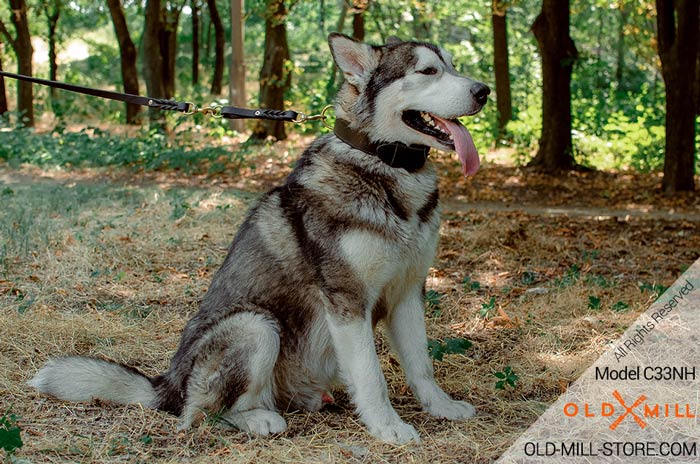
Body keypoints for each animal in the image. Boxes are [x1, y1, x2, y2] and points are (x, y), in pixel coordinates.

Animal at [30, 30, 490, 444]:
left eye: (452, 65)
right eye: (428, 71)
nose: (484, 91)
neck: (384, 166)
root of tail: (168, 384)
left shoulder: (407, 292)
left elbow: (421, 364)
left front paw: (441, 407)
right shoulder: (347, 300)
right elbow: (371, 375)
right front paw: (387, 427)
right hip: (255, 326)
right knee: (199, 416)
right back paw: (257, 420)